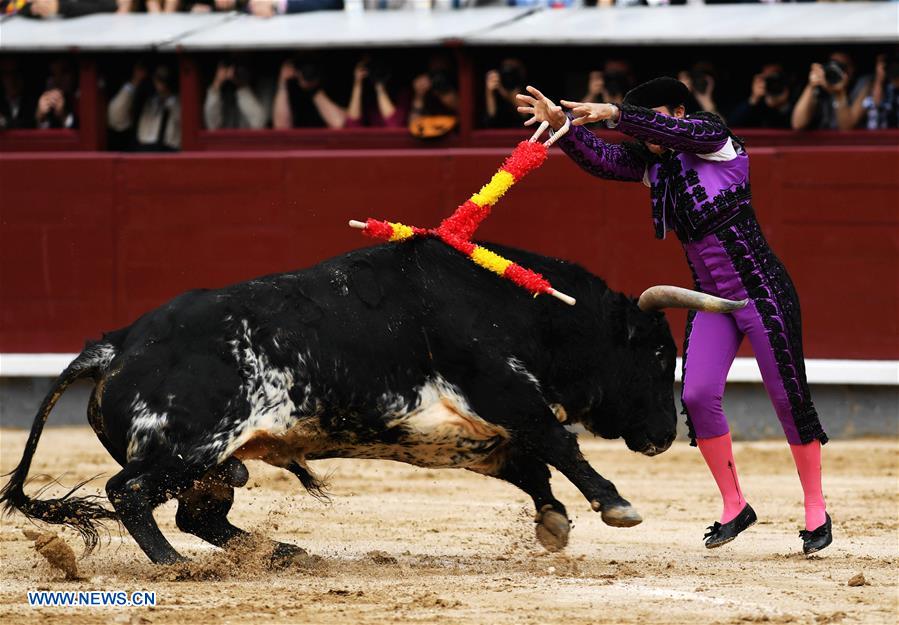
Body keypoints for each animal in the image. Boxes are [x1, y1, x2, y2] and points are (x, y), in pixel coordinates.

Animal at [0, 238, 744, 560]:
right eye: (658, 356)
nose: (664, 434)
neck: (524, 310)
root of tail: (116, 342)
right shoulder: (503, 390)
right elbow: (558, 442)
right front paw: (615, 505)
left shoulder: (469, 435)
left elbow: (531, 465)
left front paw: (553, 523)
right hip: (190, 445)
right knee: (132, 494)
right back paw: (179, 569)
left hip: (217, 462)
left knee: (197, 513)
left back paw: (279, 553)